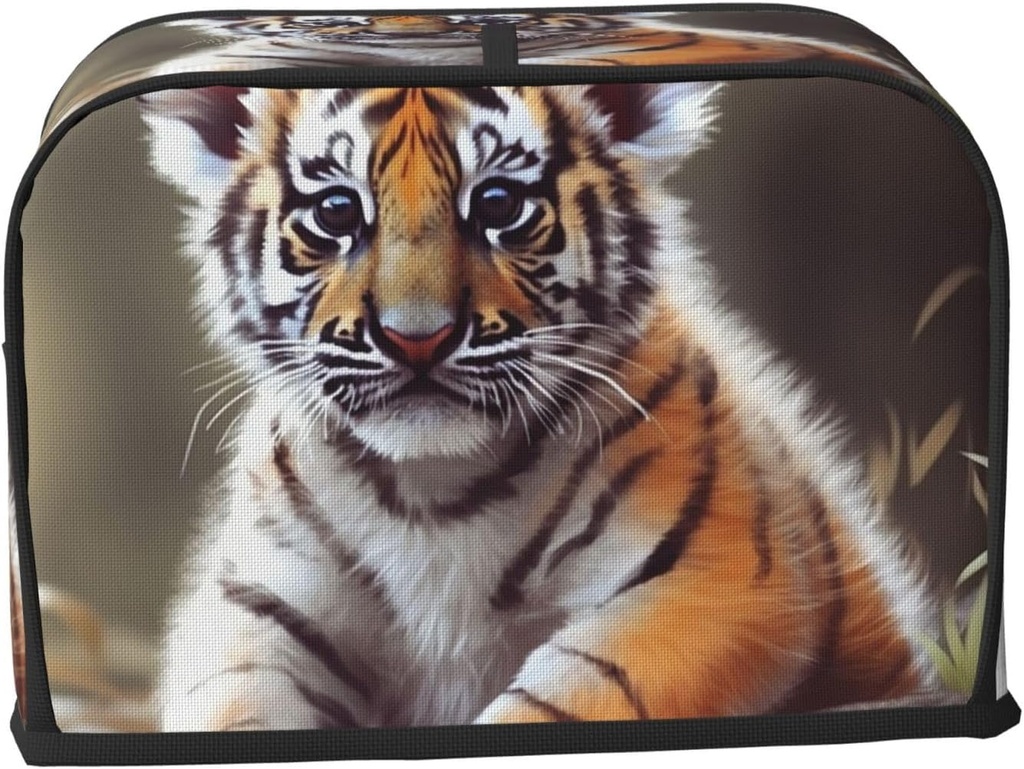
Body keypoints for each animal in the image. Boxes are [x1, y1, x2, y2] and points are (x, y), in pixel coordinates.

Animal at [138, 81, 943, 731]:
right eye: (337, 212)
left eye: (499, 204)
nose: (416, 338)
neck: (433, 494)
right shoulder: (254, 615)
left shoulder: (717, 584)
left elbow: (565, 697)